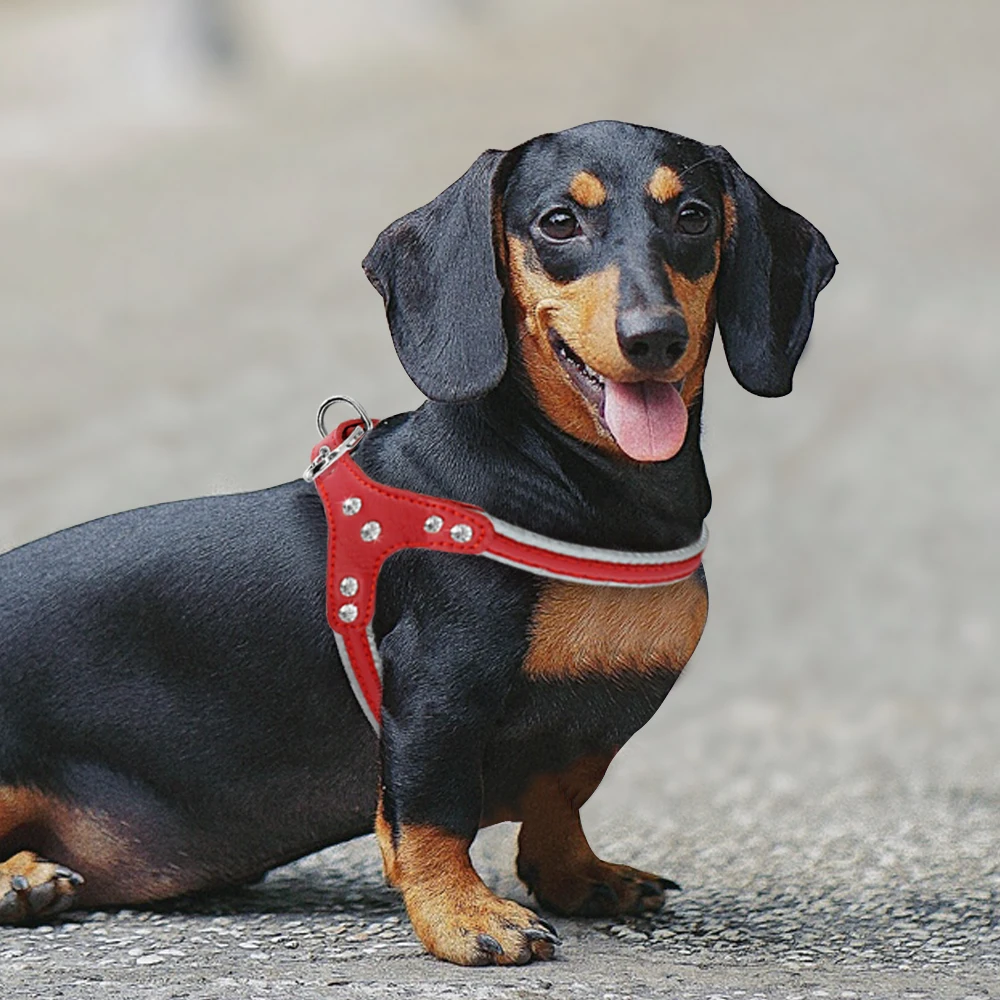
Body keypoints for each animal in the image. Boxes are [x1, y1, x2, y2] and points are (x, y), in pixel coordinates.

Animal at [0, 121, 836, 964]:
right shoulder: (439, 685)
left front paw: (578, 876)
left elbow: (559, 798)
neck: (583, 489)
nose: (655, 337)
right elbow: (433, 814)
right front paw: (463, 915)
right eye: (558, 222)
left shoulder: (590, 719)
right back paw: (19, 879)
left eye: (694, 216)